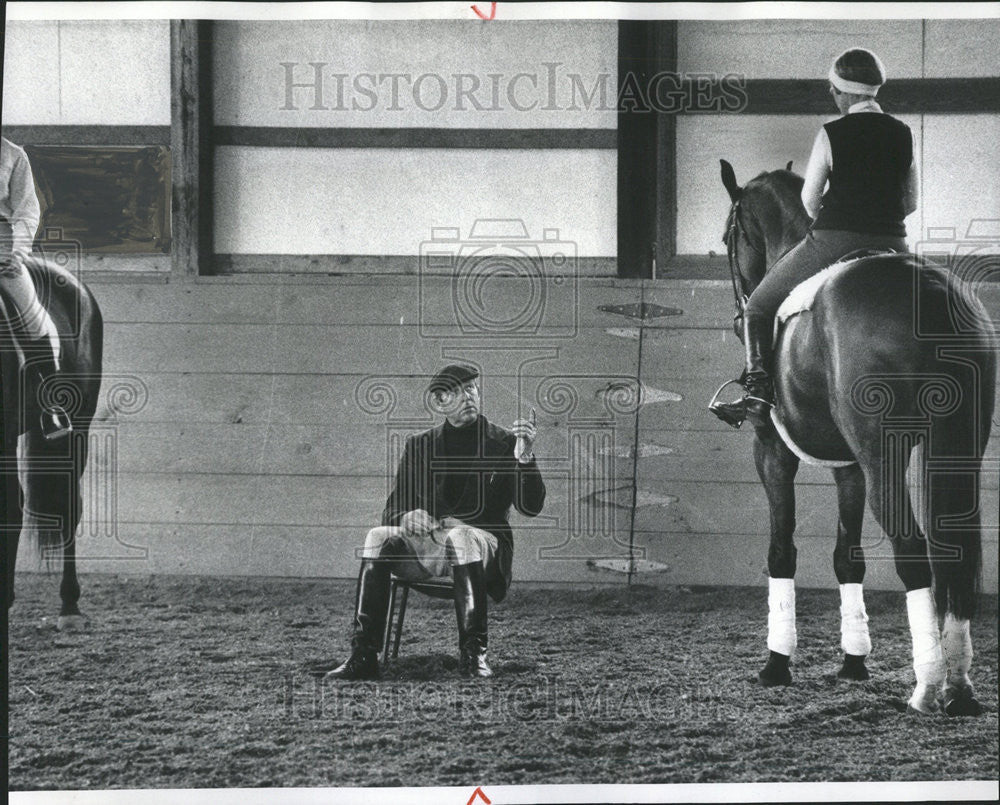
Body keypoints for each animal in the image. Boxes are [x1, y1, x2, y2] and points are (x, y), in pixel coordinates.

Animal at [716, 160, 996, 712]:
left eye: (727, 238)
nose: (739, 314)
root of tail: (931, 293)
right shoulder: (850, 468)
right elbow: (848, 558)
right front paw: (853, 661)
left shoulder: (772, 451)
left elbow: (781, 551)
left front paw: (776, 663)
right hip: (954, 449)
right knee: (952, 558)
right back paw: (958, 688)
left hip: (884, 454)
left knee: (914, 554)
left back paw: (927, 687)